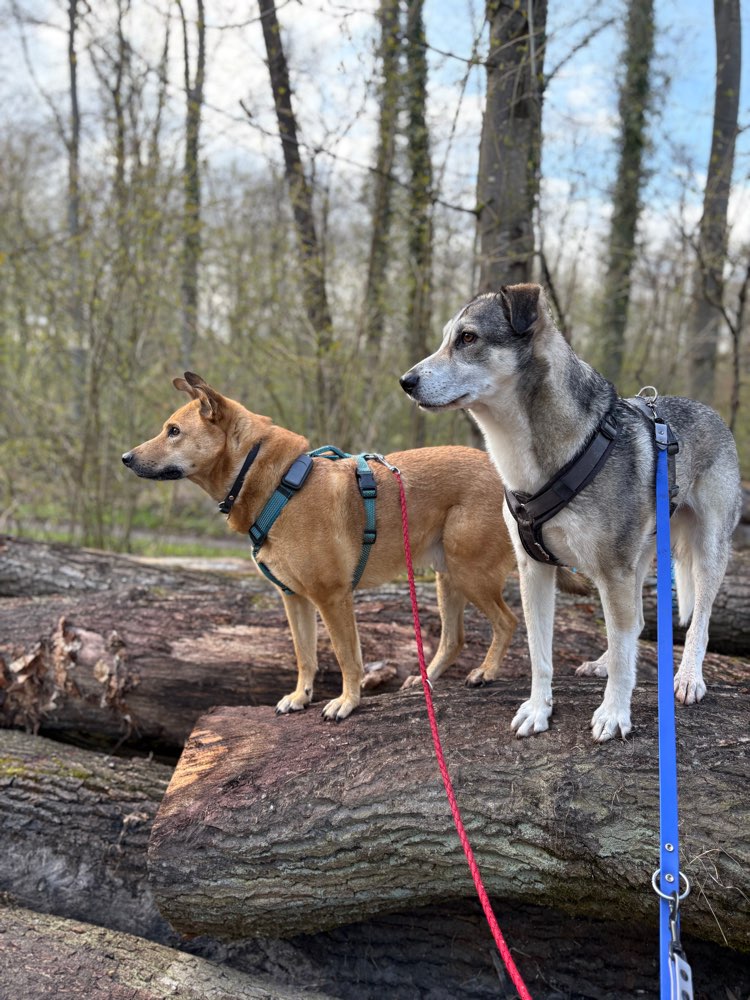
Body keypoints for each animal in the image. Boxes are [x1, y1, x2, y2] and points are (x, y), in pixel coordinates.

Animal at [122, 373, 587, 721]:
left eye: (174, 431)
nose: (126, 458)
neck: (274, 485)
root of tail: (508, 479)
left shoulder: (332, 597)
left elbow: (347, 657)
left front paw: (346, 702)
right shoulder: (294, 599)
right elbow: (305, 655)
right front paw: (300, 696)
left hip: (469, 572)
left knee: (506, 622)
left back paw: (486, 672)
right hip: (446, 576)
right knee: (453, 638)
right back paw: (427, 680)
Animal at [400, 283, 742, 741]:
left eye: (468, 338)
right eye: (444, 339)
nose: (406, 381)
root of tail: (712, 414)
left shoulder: (612, 571)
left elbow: (625, 658)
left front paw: (614, 713)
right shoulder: (535, 570)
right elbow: (540, 653)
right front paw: (538, 709)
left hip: (704, 552)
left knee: (696, 622)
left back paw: (688, 677)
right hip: (638, 558)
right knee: (634, 625)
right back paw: (603, 662)